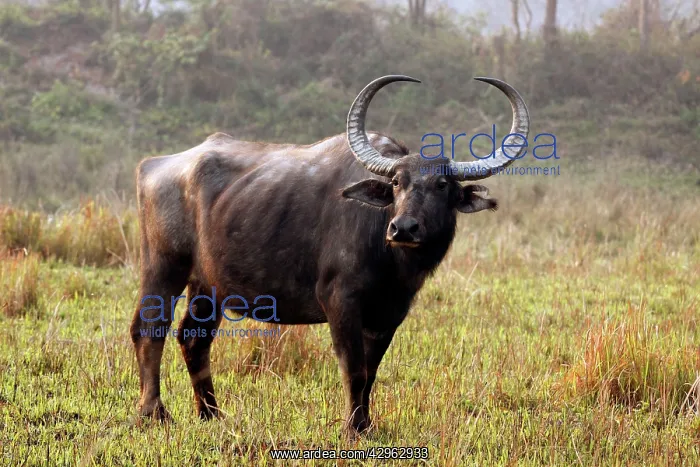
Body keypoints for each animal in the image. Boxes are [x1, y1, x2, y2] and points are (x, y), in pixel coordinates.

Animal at [130, 75, 530, 437]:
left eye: (442, 185)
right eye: (397, 183)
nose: (403, 228)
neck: (389, 259)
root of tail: (155, 165)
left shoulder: (390, 313)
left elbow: (371, 370)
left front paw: (366, 425)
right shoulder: (340, 301)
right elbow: (353, 367)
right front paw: (351, 428)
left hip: (208, 285)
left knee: (193, 338)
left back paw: (211, 414)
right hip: (164, 267)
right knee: (149, 328)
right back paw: (155, 413)